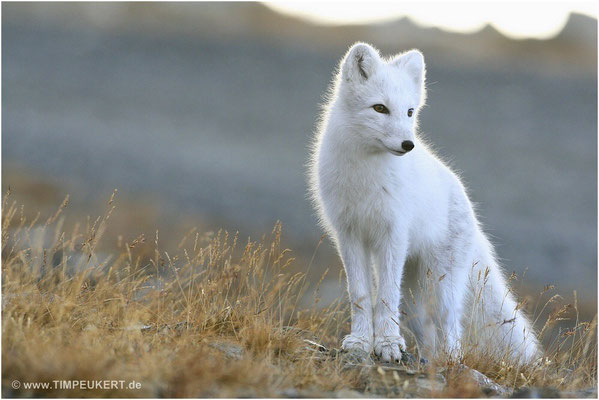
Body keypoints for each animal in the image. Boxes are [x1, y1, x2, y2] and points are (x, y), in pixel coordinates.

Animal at [312, 43, 540, 362]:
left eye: (410, 112)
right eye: (380, 108)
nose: (408, 145)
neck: (365, 174)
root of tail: (467, 204)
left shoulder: (393, 234)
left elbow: (385, 297)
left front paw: (387, 344)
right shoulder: (349, 234)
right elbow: (360, 295)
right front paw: (360, 342)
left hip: (443, 284)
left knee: (450, 324)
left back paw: (451, 361)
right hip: (413, 295)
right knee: (426, 331)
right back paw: (429, 360)